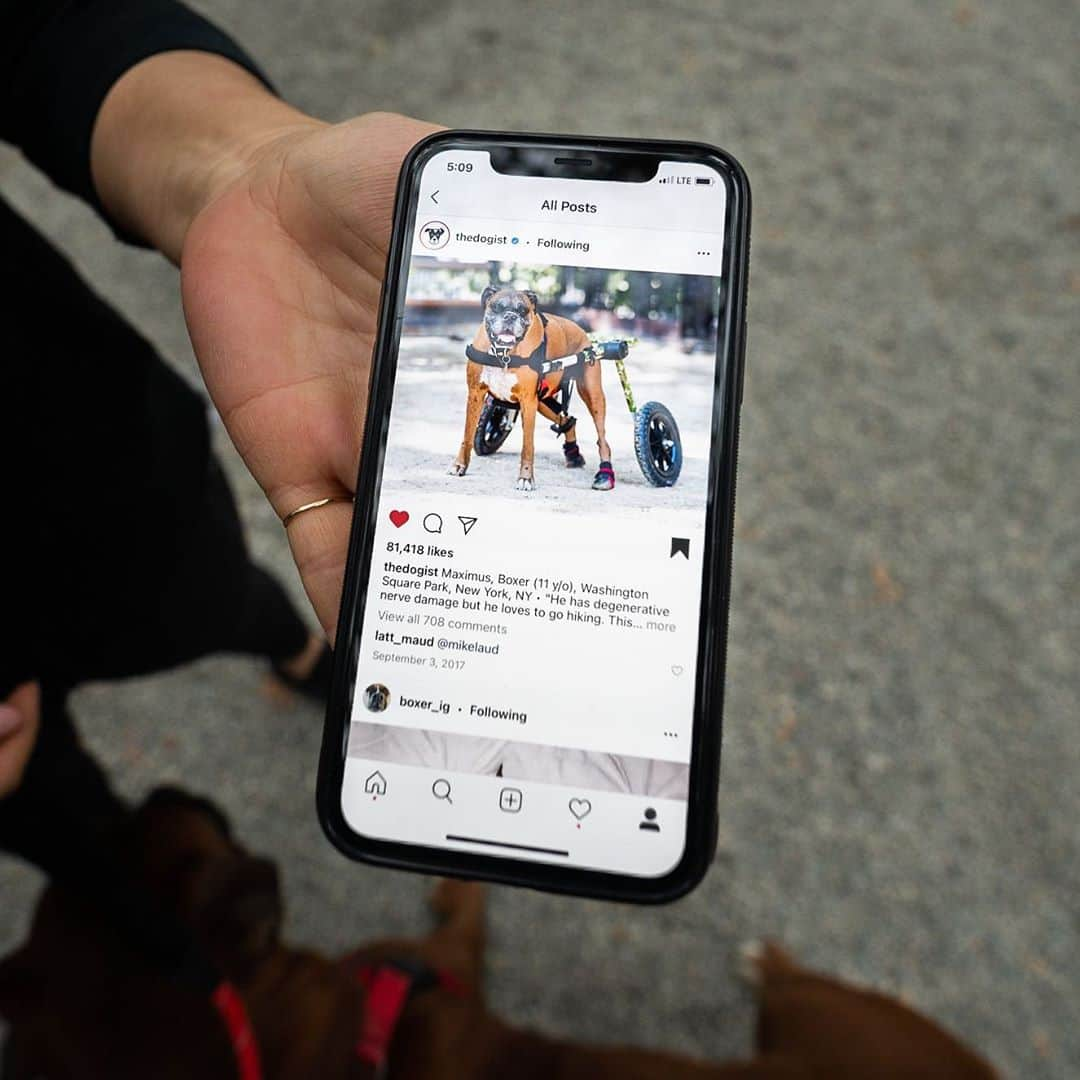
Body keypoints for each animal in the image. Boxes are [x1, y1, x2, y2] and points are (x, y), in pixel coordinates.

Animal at [0, 790, 997, 1075]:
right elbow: (469, 909)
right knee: (796, 982)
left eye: (126, 838)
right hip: (822, 1023)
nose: (162, 795)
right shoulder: (436, 963)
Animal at [449, 285, 617, 492]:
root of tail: (582, 331)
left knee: (602, 438)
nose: (510, 316)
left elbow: (527, 446)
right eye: (497, 307)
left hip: (592, 394)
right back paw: (573, 454)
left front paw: (526, 478)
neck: (504, 355)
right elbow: (467, 434)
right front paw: (459, 465)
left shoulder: (528, 401)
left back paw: (604, 474)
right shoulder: (475, 394)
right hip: (543, 401)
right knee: (567, 419)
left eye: (523, 310)